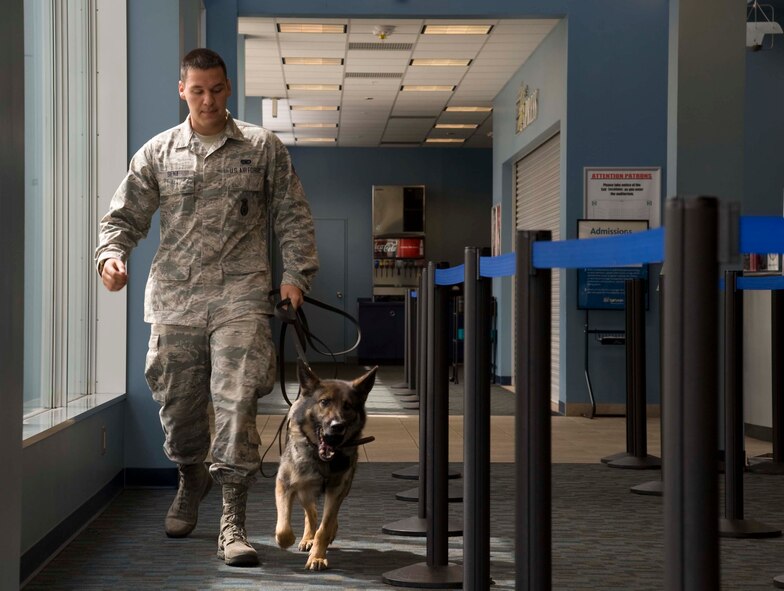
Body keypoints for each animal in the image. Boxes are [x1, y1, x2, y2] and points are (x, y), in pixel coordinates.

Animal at [274, 358, 378, 572]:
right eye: (324, 402)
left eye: (348, 406)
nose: (337, 426)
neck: (320, 459)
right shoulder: (284, 484)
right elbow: (283, 527)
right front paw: (288, 540)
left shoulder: (336, 490)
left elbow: (325, 526)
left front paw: (318, 557)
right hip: (304, 492)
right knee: (311, 512)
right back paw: (307, 538)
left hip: (343, 488)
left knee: (325, 517)